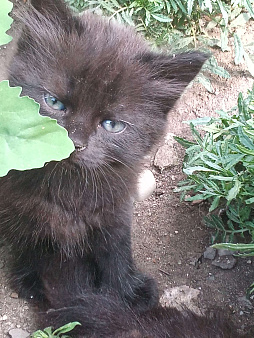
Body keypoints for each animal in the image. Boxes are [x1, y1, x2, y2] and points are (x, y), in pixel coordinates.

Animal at [0, 0, 240, 336]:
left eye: (112, 125)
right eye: (54, 103)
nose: (74, 142)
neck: (70, 188)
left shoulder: (117, 201)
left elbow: (116, 246)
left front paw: (128, 291)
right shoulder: (17, 202)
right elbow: (28, 236)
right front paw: (31, 277)